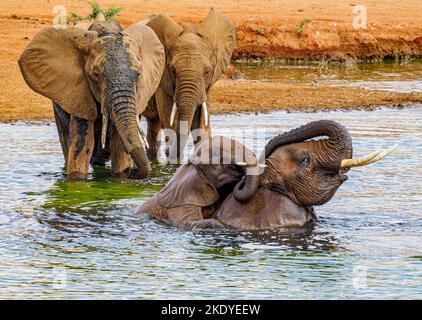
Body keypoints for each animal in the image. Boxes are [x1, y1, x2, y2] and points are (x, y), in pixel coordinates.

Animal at [19, 16, 165, 180]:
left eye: (139, 75)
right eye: (96, 75)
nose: (131, 171)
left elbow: (119, 145)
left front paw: (120, 177)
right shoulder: (79, 93)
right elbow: (82, 144)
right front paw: (77, 181)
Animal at [143, 8, 237, 160]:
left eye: (207, 71)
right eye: (173, 70)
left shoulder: (206, 87)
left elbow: (202, 124)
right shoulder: (163, 80)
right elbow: (170, 120)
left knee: (154, 124)